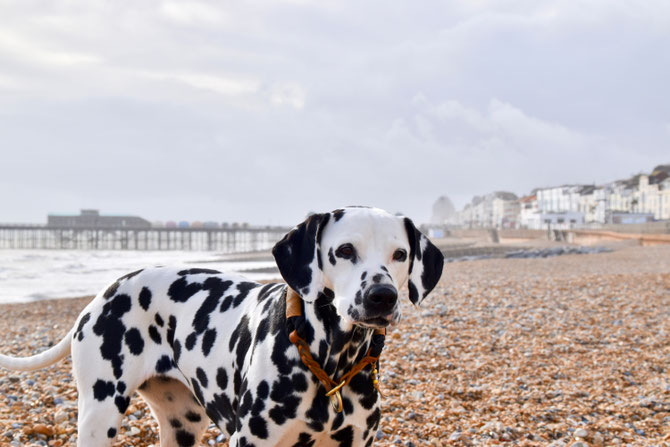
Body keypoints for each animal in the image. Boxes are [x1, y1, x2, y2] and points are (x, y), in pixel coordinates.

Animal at [0, 209, 446, 447]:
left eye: (400, 254)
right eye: (345, 250)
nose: (382, 297)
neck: (330, 363)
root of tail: (104, 292)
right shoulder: (250, 440)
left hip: (181, 426)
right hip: (100, 412)